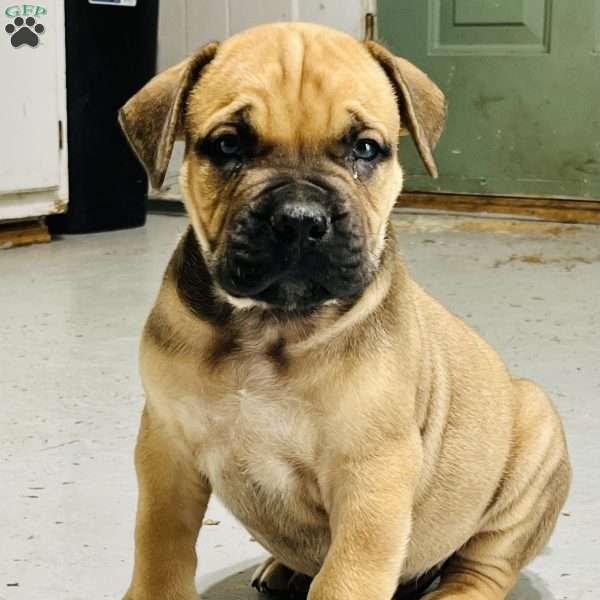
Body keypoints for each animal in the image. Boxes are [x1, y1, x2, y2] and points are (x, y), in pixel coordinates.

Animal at [118, 22, 572, 600]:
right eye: (227, 145)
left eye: (365, 148)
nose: (299, 219)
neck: (269, 325)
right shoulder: (166, 452)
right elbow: (161, 548)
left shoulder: (371, 476)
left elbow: (345, 579)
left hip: (531, 447)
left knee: (483, 567)